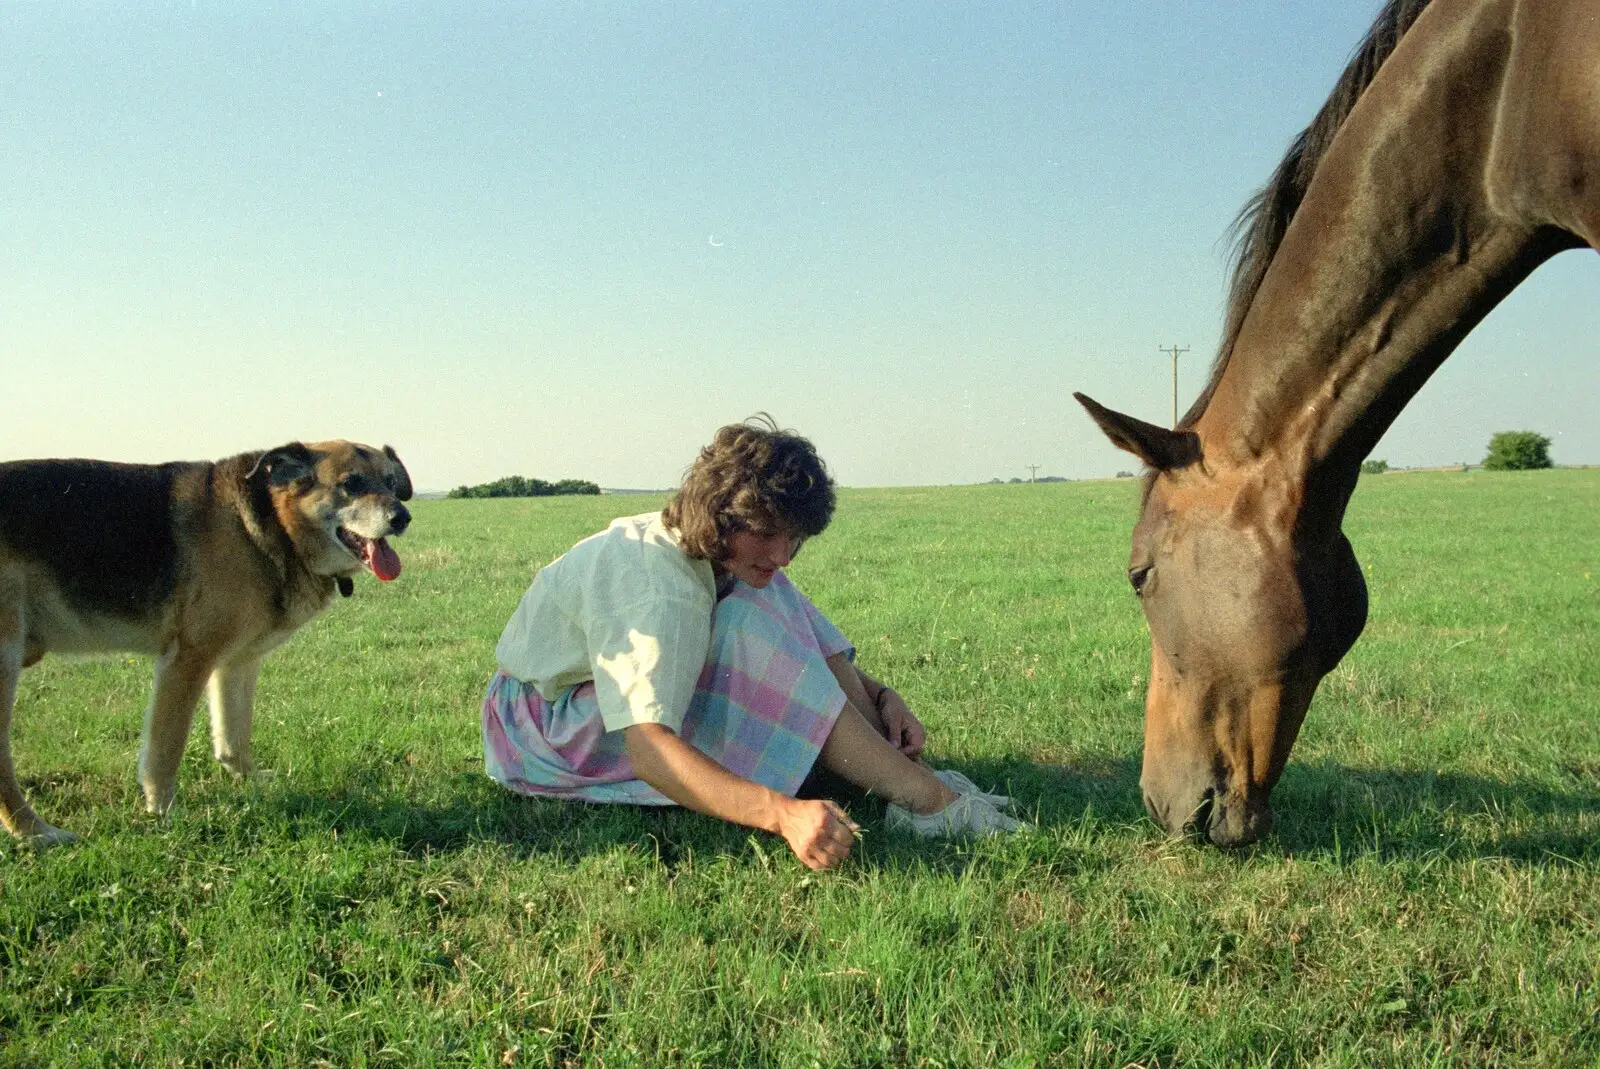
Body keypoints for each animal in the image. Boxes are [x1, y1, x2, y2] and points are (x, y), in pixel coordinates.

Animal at [1, 441, 412, 844]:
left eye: (392, 483)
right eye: (351, 484)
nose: (403, 518)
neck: (266, 526)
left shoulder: (237, 663)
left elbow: (234, 737)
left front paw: (252, 783)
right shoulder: (187, 661)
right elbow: (166, 749)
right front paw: (162, 811)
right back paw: (35, 830)